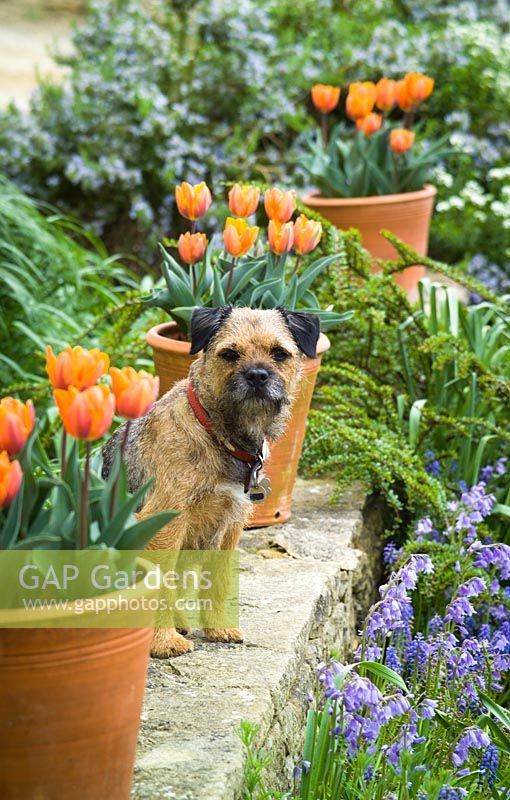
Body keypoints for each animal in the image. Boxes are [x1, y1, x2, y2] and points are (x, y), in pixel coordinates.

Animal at [101, 306, 318, 656]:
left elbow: (219, 582)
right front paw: (164, 642)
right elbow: (160, 584)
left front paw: (219, 628)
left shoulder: (230, 525)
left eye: (279, 353)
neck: (217, 434)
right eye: (230, 354)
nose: (257, 376)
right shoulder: (166, 524)